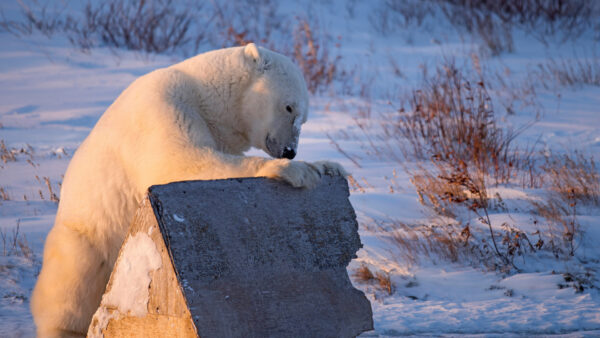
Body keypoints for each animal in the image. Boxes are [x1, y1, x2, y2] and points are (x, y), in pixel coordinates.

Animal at [30, 43, 344, 336]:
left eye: (303, 119)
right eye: (288, 107)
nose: (290, 151)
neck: (205, 96)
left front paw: (329, 166)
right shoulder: (163, 106)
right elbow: (183, 162)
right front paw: (299, 170)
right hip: (88, 234)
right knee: (71, 282)